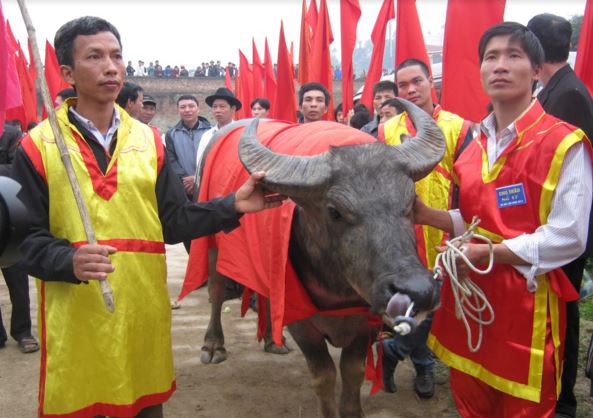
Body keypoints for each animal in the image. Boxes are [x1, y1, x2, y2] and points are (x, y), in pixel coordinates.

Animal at [184, 98, 444, 418]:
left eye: (411, 202)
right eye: (334, 211)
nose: (418, 291)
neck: (338, 289)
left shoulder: (365, 321)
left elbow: (353, 372)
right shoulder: (302, 322)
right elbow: (324, 375)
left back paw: (272, 340)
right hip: (213, 246)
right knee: (217, 290)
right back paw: (213, 346)